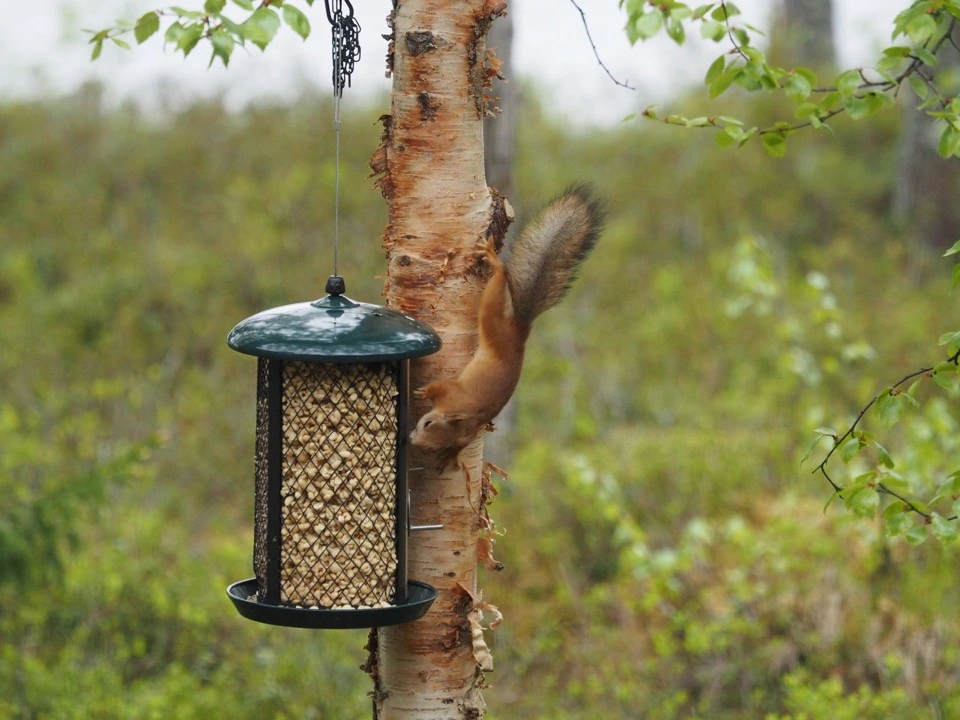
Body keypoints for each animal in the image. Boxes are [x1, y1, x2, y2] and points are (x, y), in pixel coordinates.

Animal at [409, 183, 605, 457]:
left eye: (428, 425)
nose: (410, 439)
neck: (467, 416)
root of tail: (521, 327)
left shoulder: (453, 394)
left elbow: (442, 387)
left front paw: (424, 392)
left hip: (492, 313)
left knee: (500, 277)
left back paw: (493, 259)